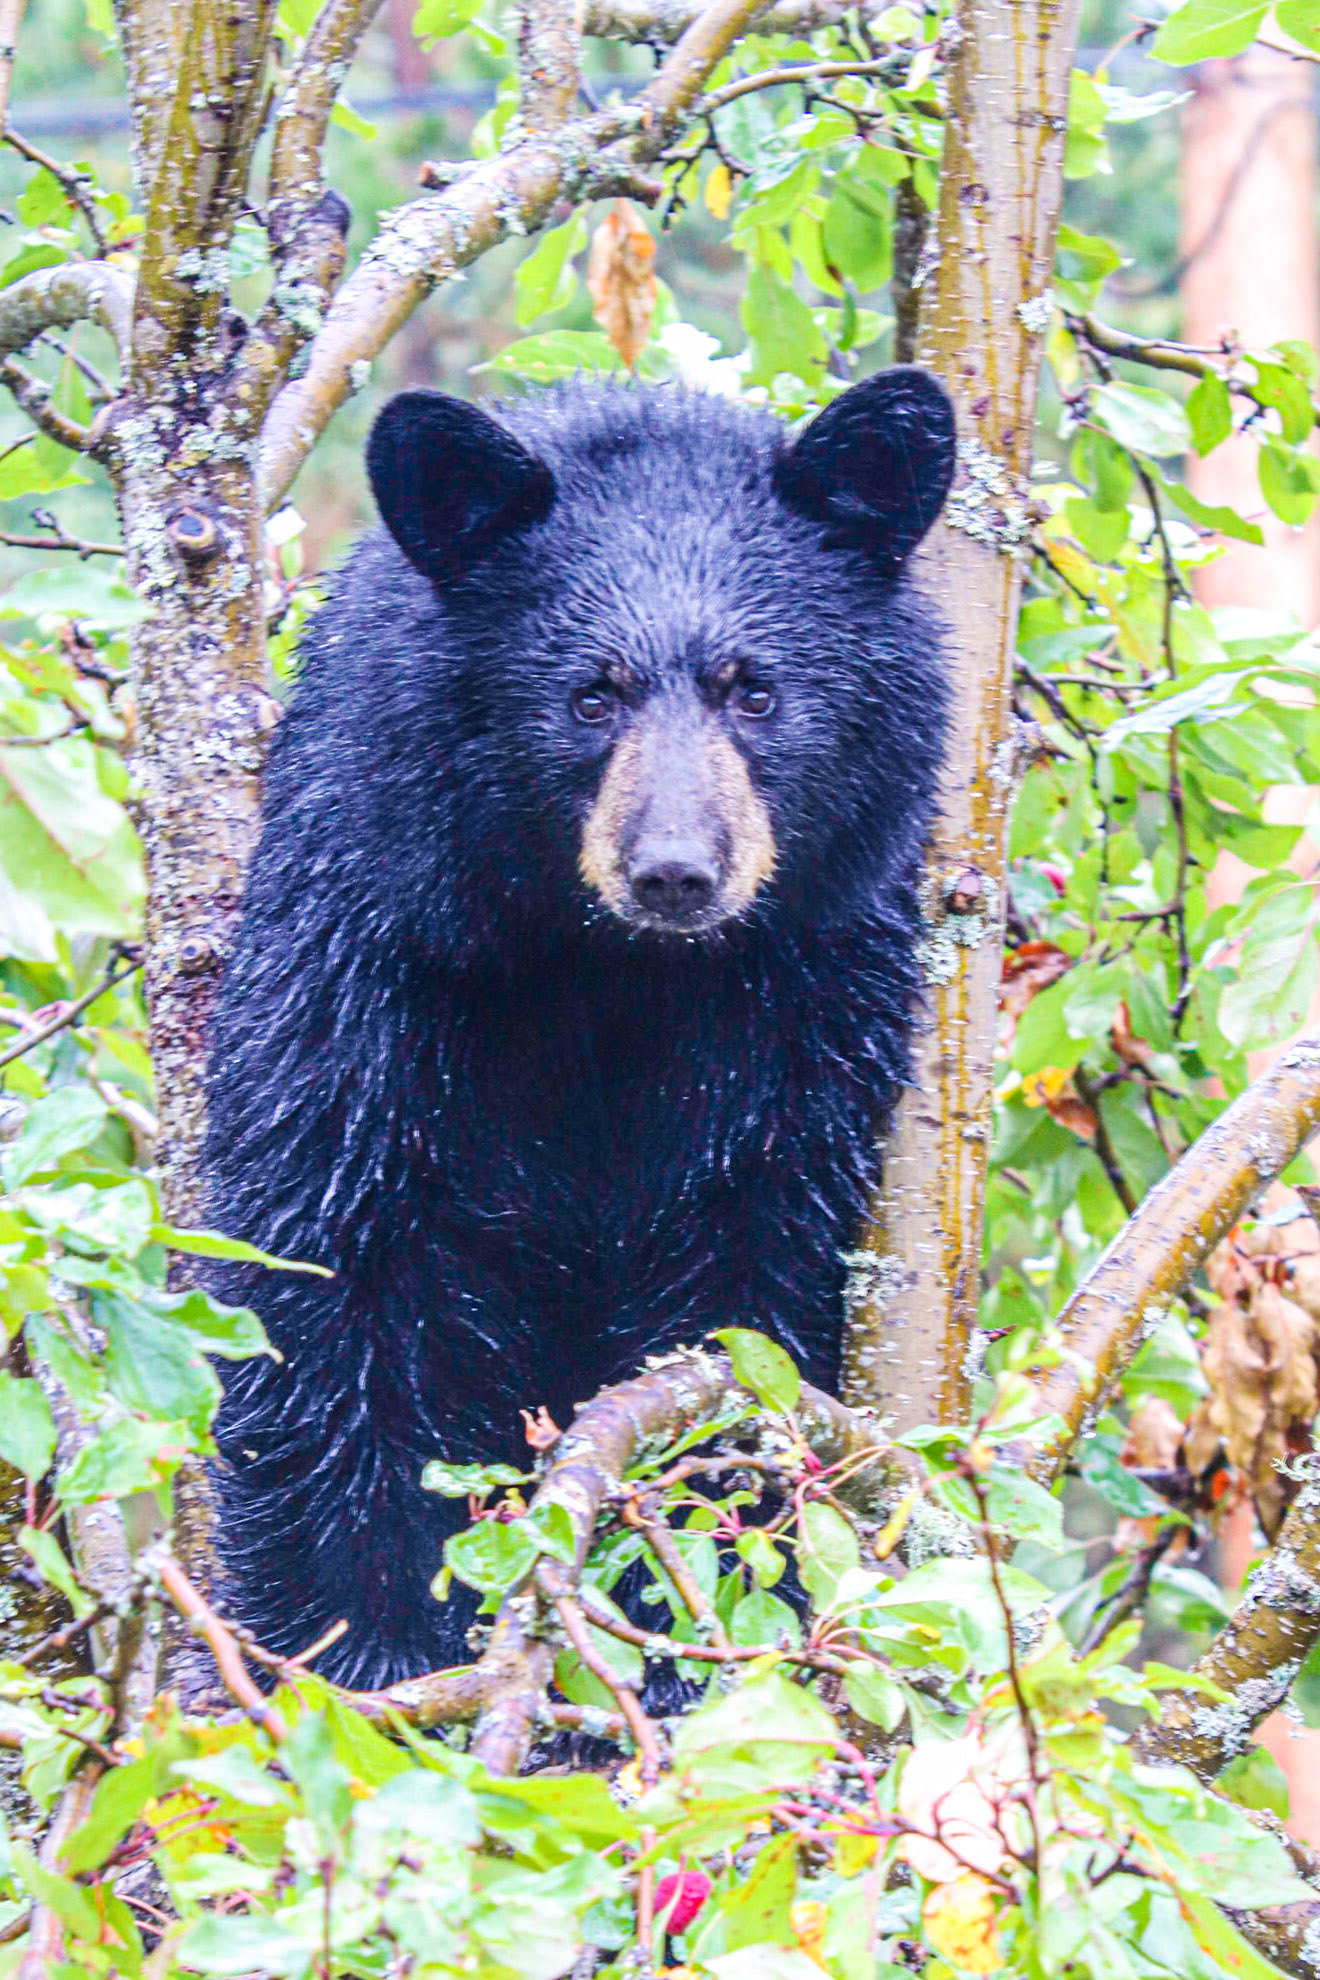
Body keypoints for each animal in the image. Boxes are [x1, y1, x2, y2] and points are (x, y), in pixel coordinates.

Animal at [204, 367, 956, 1689]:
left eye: (756, 688)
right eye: (589, 695)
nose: (675, 871)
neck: (610, 972)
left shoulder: (806, 1009)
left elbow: (748, 1304)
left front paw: (679, 1645)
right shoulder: (371, 965)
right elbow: (321, 1294)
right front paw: (356, 1659)